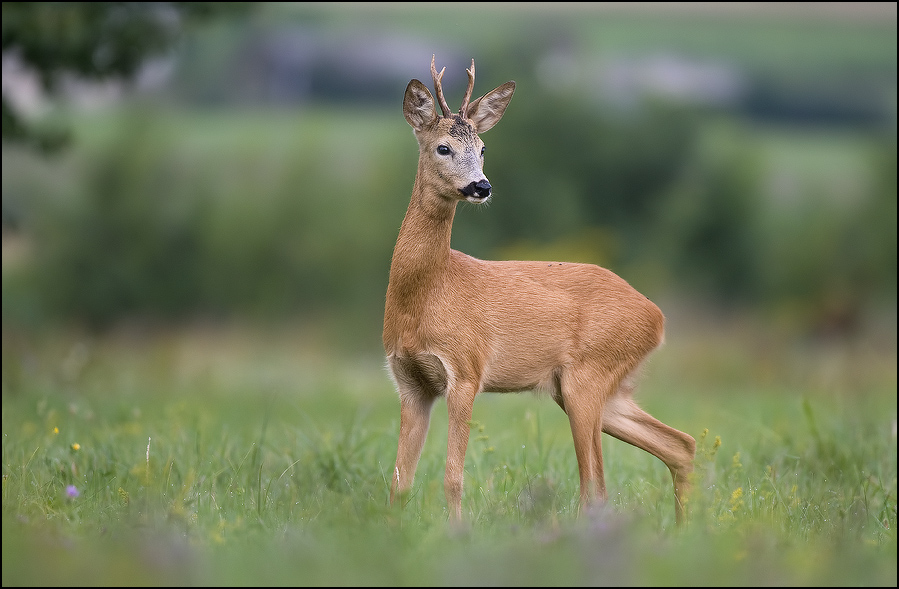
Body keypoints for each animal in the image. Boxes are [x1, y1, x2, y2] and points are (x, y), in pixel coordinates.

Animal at [384, 56, 700, 524]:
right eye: (443, 148)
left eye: (483, 149)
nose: (481, 186)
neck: (427, 294)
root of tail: (656, 317)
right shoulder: (410, 382)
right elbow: (399, 482)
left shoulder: (467, 370)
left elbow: (452, 477)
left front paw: (457, 532)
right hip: (591, 390)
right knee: (680, 444)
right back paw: (683, 531)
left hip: (588, 376)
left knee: (596, 486)